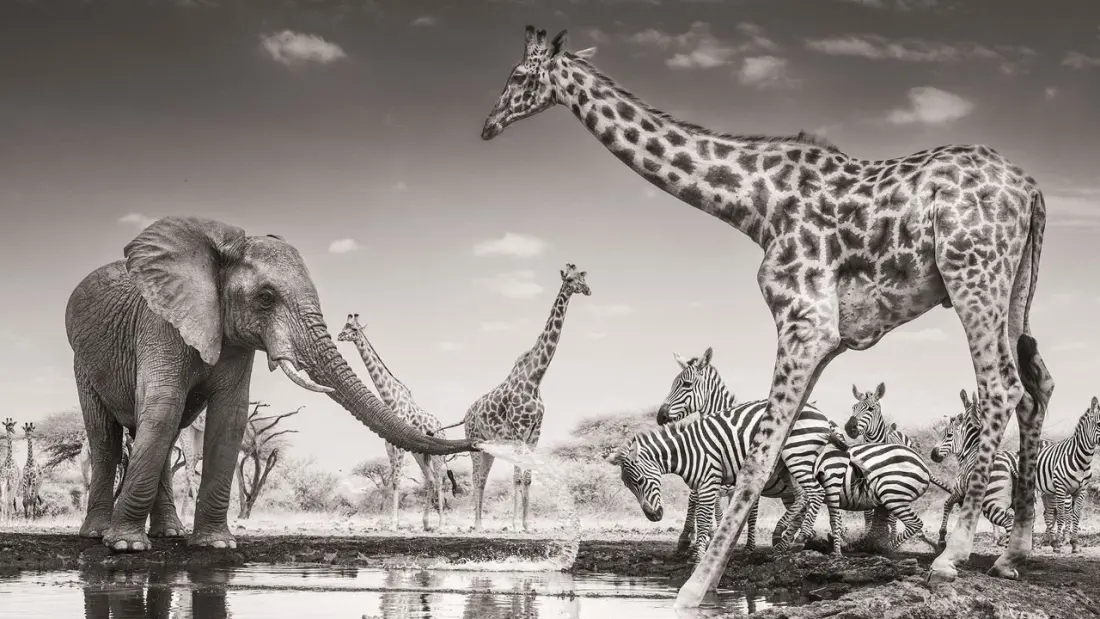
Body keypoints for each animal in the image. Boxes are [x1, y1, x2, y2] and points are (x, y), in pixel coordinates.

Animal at [66, 216, 477, 551]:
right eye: (265, 297)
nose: (479, 440)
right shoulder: (158, 323)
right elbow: (164, 410)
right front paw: (126, 547)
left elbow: (230, 418)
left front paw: (216, 545)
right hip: (82, 360)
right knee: (109, 436)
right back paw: (100, 534)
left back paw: (170, 534)